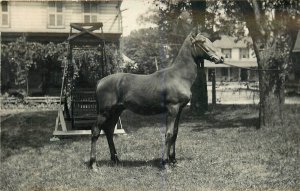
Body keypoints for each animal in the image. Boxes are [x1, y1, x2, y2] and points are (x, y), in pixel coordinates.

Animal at [90, 31, 224, 170]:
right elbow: (168, 133)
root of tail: (100, 81)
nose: (221, 58)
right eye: (202, 41)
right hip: (104, 112)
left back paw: (116, 160)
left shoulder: (179, 110)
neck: (179, 76)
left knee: (109, 131)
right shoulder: (172, 109)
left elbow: (175, 133)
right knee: (95, 131)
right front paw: (166, 163)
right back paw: (94, 164)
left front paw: (173, 161)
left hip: (116, 111)